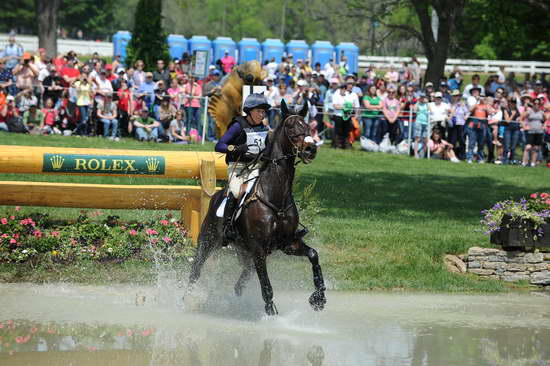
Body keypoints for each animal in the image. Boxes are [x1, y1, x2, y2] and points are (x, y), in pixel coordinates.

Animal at [189, 99, 328, 314]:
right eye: (290, 126)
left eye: (307, 126)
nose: (310, 149)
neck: (276, 197)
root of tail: (216, 196)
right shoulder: (258, 249)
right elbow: (266, 285)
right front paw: (271, 313)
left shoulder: (287, 243)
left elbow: (313, 254)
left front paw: (318, 298)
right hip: (208, 241)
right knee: (195, 270)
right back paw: (185, 299)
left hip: (244, 253)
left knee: (240, 282)